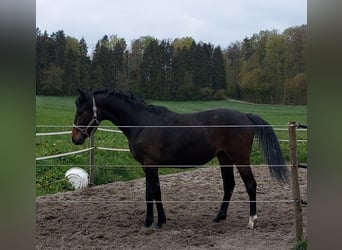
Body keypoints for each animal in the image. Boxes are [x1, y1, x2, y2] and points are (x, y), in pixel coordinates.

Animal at [71, 89, 288, 229]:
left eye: (82, 111)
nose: (75, 138)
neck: (142, 123)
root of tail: (245, 115)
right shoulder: (148, 166)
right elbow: (154, 192)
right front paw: (159, 220)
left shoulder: (150, 164)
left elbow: (151, 192)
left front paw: (151, 222)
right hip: (224, 157)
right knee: (229, 185)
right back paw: (219, 217)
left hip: (240, 158)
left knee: (250, 184)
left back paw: (252, 221)